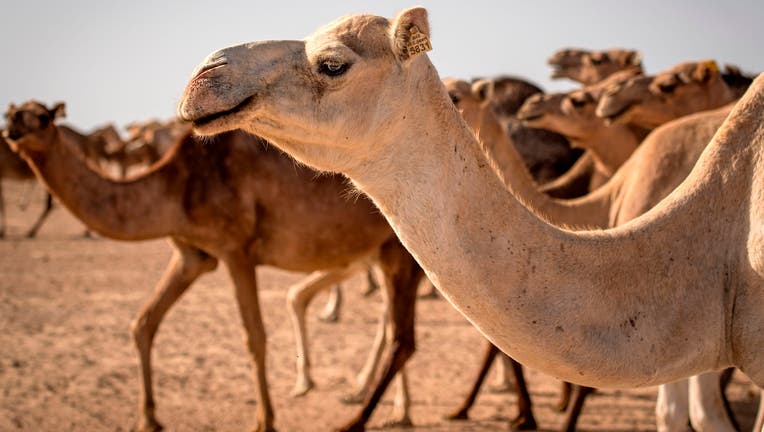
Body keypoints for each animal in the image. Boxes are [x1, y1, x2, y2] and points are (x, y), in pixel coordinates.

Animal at [3, 100, 427, 432]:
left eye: (41, 117)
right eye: (12, 112)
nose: (10, 132)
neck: (176, 187)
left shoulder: (235, 249)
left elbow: (254, 338)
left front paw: (265, 421)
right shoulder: (193, 256)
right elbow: (143, 323)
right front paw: (147, 418)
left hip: (402, 251)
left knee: (402, 338)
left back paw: (358, 420)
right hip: (392, 252)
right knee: (398, 332)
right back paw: (391, 411)